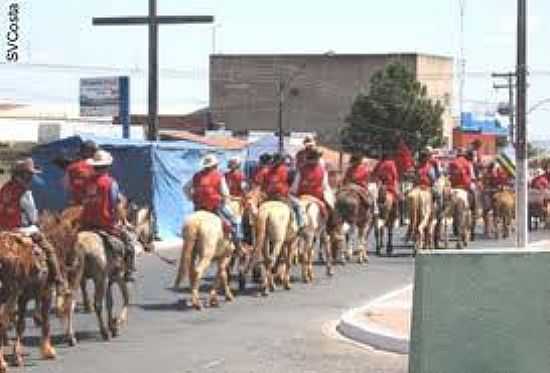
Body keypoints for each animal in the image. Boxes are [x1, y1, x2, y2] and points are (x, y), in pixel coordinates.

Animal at [0, 231, 64, 370]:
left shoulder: (23, 298)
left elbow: (21, 325)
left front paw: (16, 357)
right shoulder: (47, 293)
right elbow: (46, 322)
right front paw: (48, 351)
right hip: (11, 294)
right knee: (3, 321)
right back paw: (2, 363)